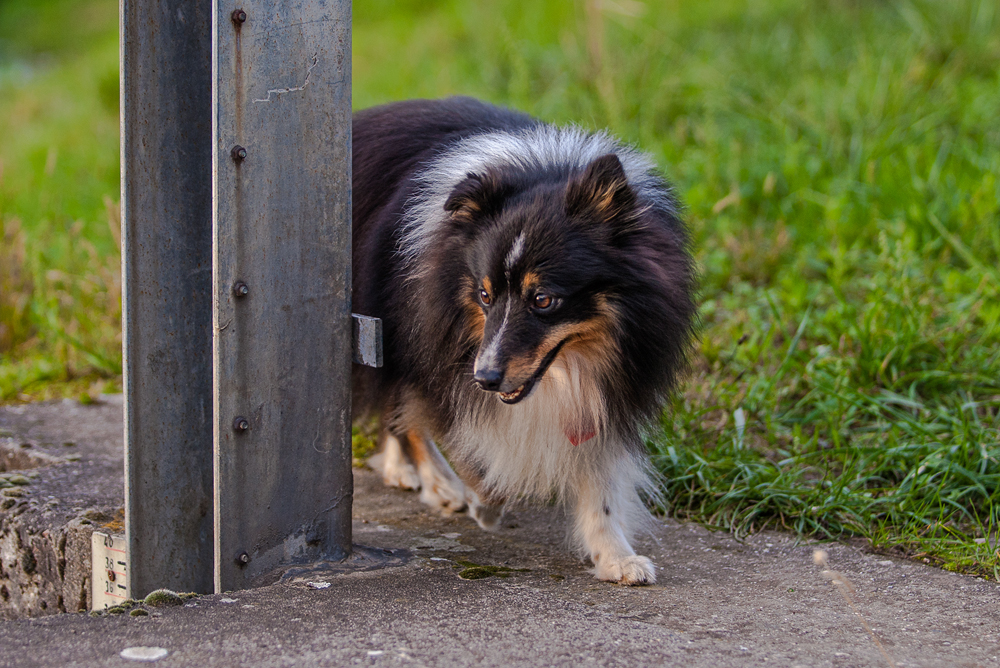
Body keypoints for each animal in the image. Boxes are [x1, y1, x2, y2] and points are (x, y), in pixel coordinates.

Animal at [354, 95, 696, 584]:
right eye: (484, 294)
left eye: (543, 299)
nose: (485, 379)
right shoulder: (436, 338)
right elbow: (460, 428)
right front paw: (485, 499)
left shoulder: (618, 375)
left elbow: (601, 475)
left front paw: (617, 558)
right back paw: (440, 483)